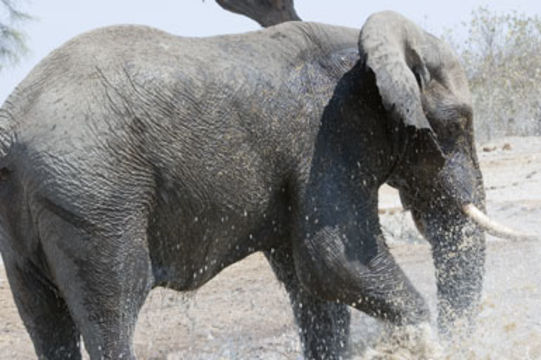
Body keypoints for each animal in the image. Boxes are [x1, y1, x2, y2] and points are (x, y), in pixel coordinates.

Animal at [0, 9, 524, 358]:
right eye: (456, 125)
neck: (365, 49)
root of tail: (12, 120)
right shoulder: (326, 138)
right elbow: (335, 260)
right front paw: (422, 340)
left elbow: (313, 288)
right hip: (96, 201)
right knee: (111, 312)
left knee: (45, 322)